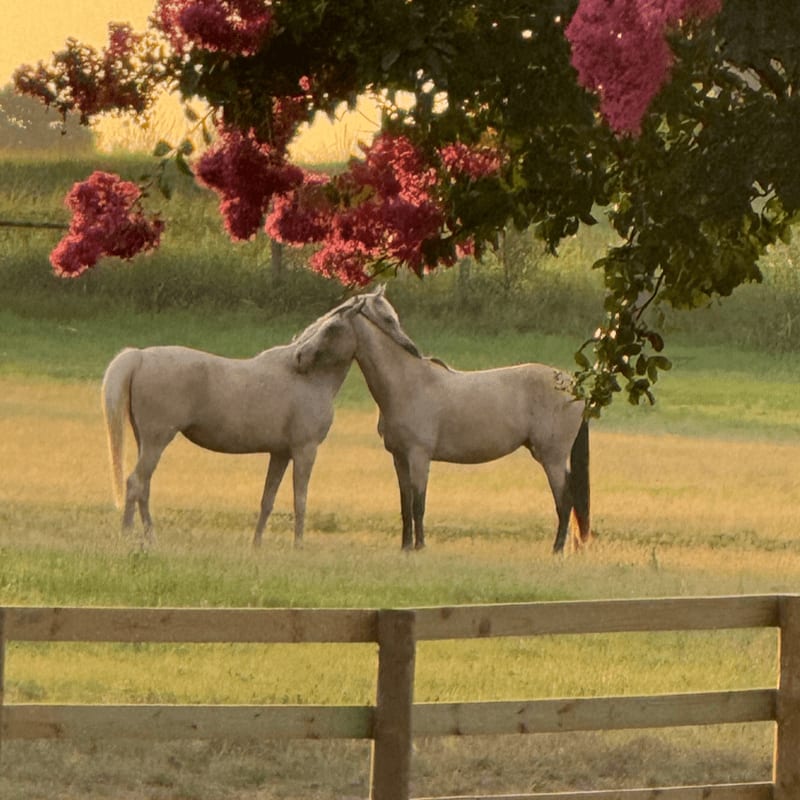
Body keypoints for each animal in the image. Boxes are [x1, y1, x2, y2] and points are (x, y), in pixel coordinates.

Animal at [101, 299, 363, 546]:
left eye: (333, 328)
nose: (301, 357)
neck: (310, 379)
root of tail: (141, 356)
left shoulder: (280, 452)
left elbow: (269, 498)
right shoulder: (305, 450)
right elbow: (300, 499)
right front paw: (298, 545)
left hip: (145, 442)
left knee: (143, 487)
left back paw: (150, 538)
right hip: (156, 441)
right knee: (135, 483)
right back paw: (128, 535)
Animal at [325, 286, 591, 554]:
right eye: (389, 318)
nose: (411, 347)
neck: (407, 383)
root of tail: (575, 387)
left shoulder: (419, 456)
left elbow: (419, 504)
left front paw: (419, 546)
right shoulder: (399, 458)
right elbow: (405, 504)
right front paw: (406, 546)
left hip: (552, 459)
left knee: (565, 501)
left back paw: (557, 549)